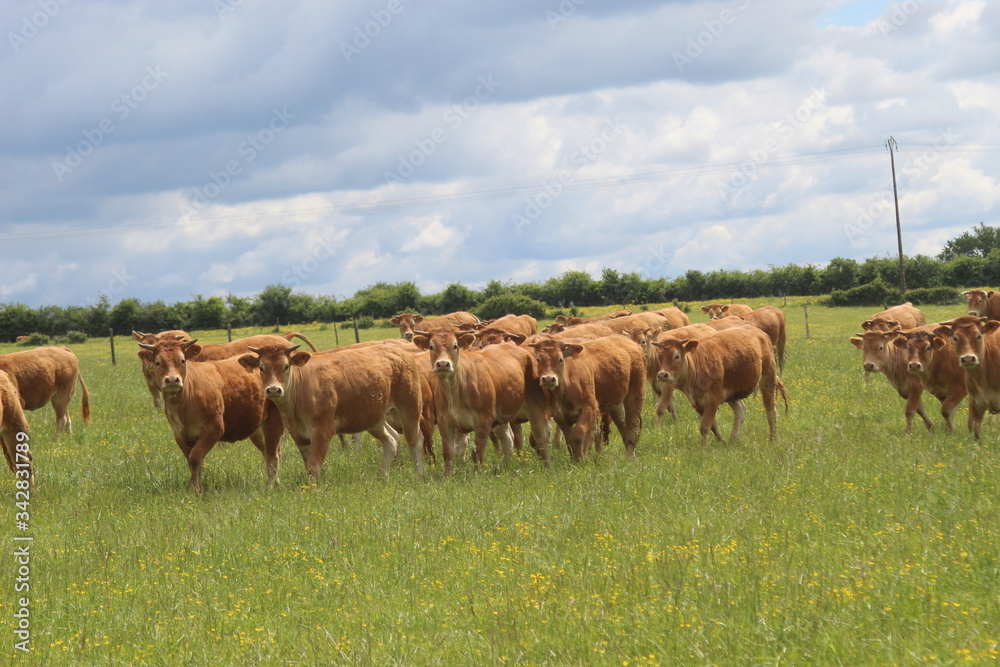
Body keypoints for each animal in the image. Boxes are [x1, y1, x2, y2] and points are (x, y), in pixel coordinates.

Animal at [137, 342, 286, 494]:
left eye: (182, 360)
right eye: (158, 362)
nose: (172, 380)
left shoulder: (213, 429)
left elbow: (195, 458)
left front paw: (194, 489)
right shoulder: (179, 435)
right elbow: (191, 461)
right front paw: (197, 487)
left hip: (274, 421)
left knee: (273, 454)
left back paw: (272, 485)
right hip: (256, 429)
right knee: (268, 451)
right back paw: (277, 482)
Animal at [244, 342, 428, 482]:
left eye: (286, 366)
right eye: (262, 368)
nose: (273, 390)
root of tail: (399, 351)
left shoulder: (323, 430)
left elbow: (313, 466)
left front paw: (312, 491)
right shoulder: (298, 434)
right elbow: (307, 463)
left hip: (410, 406)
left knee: (415, 440)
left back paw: (419, 476)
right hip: (374, 417)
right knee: (390, 440)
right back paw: (382, 476)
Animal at [412, 328, 552, 474]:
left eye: (455, 346)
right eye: (431, 346)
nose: (443, 364)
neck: (455, 390)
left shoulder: (483, 420)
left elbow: (478, 453)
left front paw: (477, 475)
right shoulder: (444, 422)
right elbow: (448, 453)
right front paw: (447, 476)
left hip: (536, 407)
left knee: (541, 438)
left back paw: (547, 468)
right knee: (507, 440)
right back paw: (506, 466)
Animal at [656, 324, 788, 448]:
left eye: (676, 356)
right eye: (659, 357)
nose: (662, 374)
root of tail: (759, 332)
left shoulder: (713, 399)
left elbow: (705, 427)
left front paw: (702, 450)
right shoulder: (698, 402)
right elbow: (713, 426)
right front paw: (721, 442)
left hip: (768, 378)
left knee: (771, 410)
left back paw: (772, 440)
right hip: (732, 392)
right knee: (740, 409)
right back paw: (733, 439)